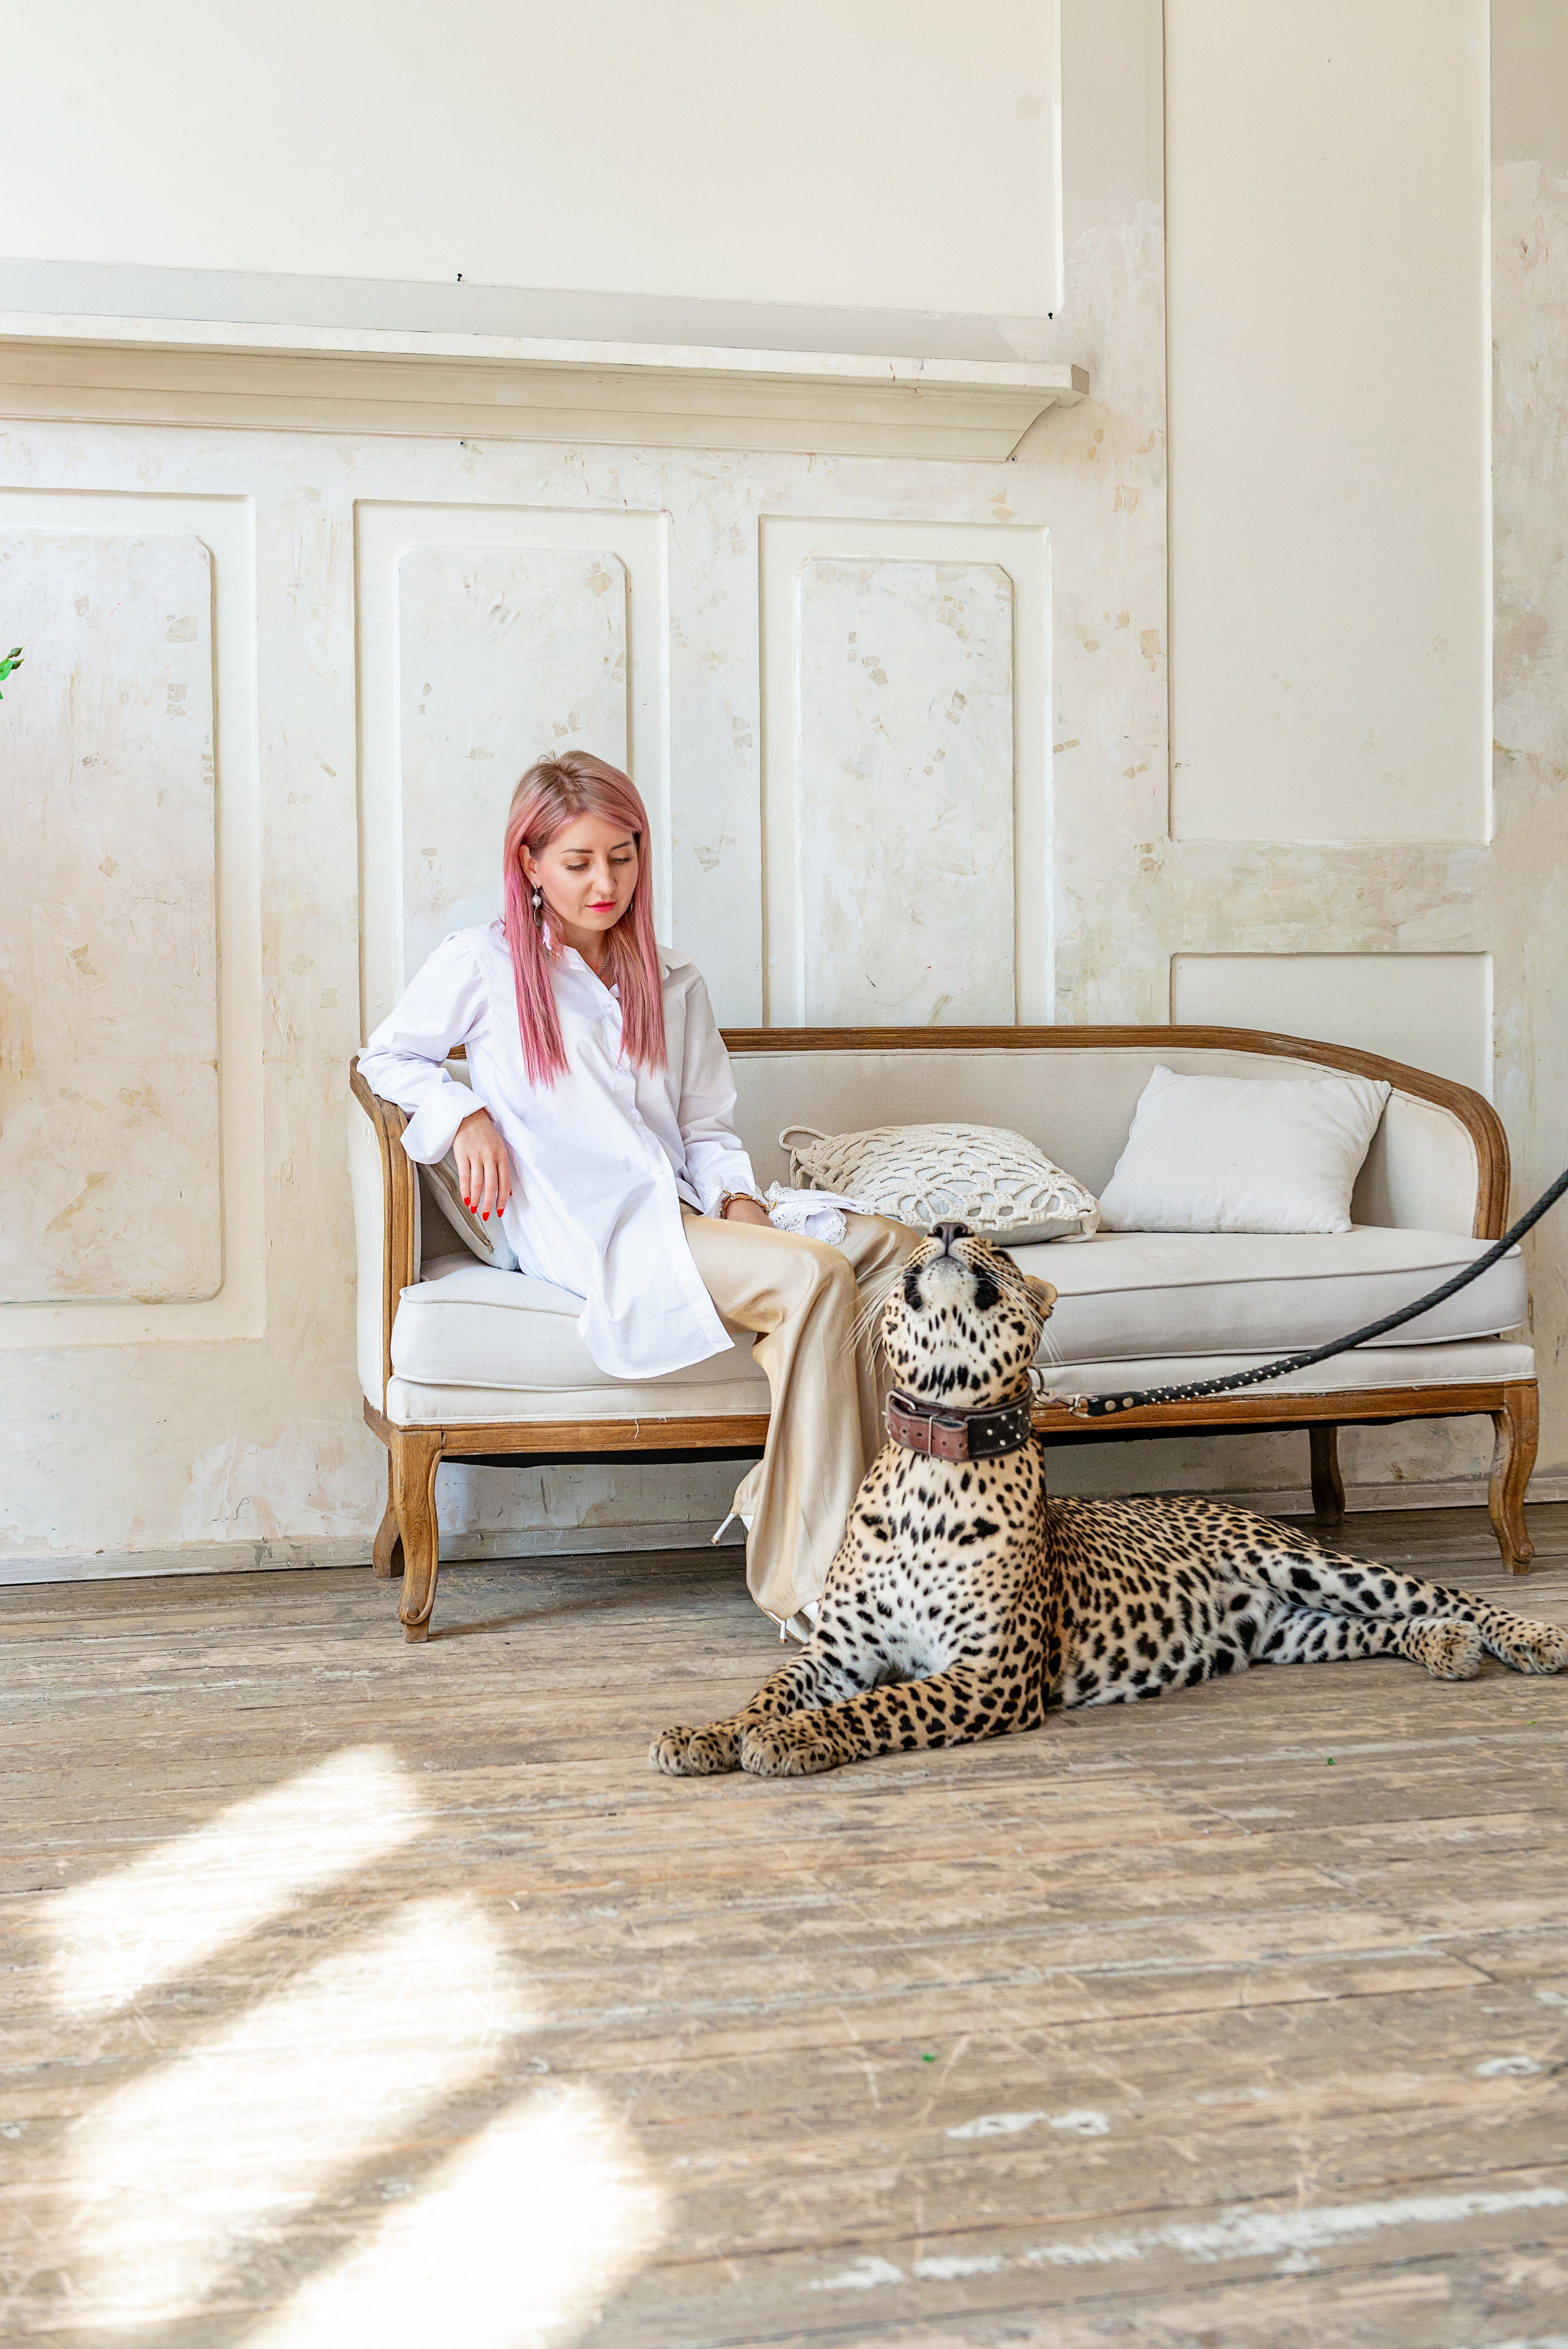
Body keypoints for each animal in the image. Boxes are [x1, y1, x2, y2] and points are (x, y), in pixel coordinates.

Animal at [650, 1220, 1566, 1778]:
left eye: (996, 1246)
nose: (946, 1226)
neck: (931, 1466)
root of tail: (1225, 1508)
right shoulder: (835, 1651)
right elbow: (768, 1688)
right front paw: (710, 1731)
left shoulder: (989, 1673)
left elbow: (884, 1703)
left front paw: (789, 1738)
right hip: (1291, 1627)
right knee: (1376, 1625)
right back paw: (1443, 1647)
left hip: (1309, 1561)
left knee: (1441, 1592)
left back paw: (1528, 1636)